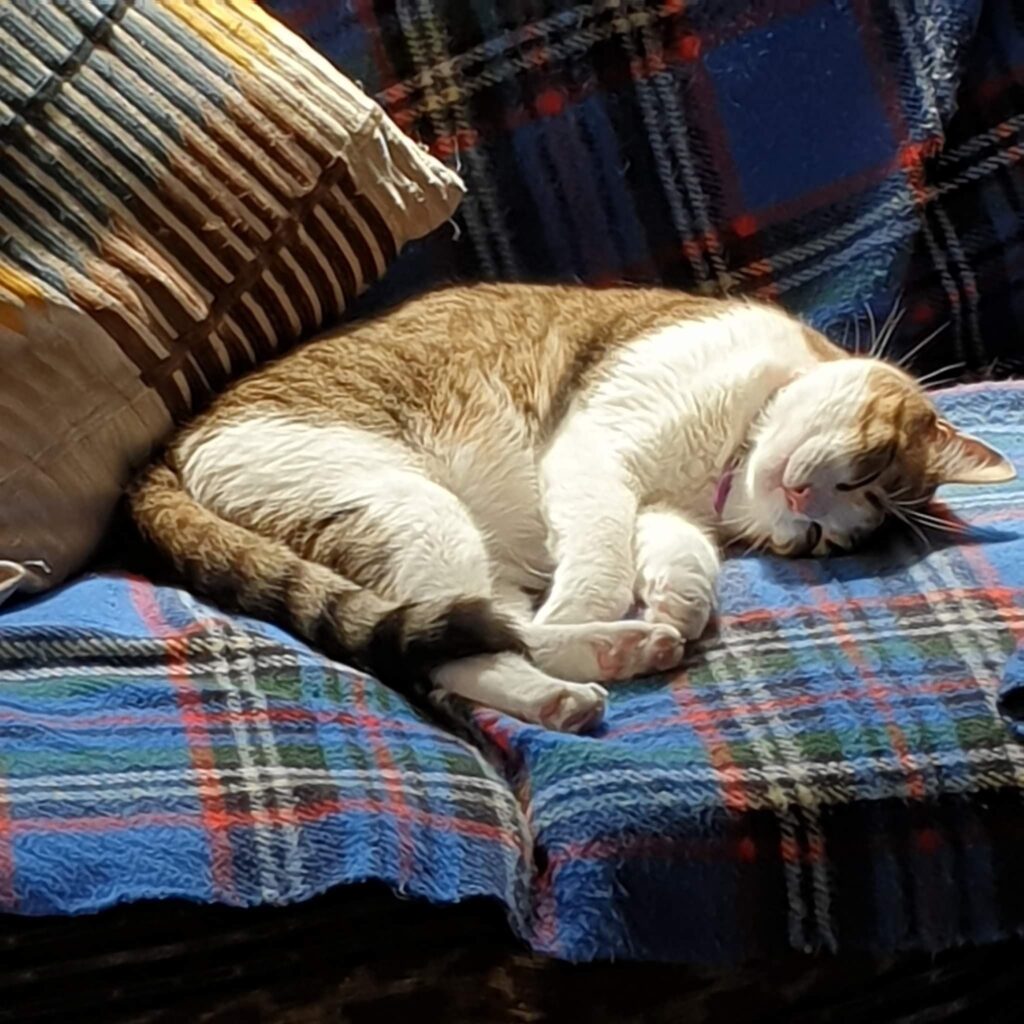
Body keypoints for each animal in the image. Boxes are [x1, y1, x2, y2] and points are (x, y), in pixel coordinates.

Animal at [130, 284, 1015, 733]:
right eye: (866, 470)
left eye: (821, 544)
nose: (804, 506)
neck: (726, 454)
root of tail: (167, 450)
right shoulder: (596, 455)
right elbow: (602, 558)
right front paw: (616, 604)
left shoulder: (665, 508)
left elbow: (678, 558)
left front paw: (679, 602)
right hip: (408, 507)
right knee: (463, 645)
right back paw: (591, 662)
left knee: (465, 635)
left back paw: (622, 651)